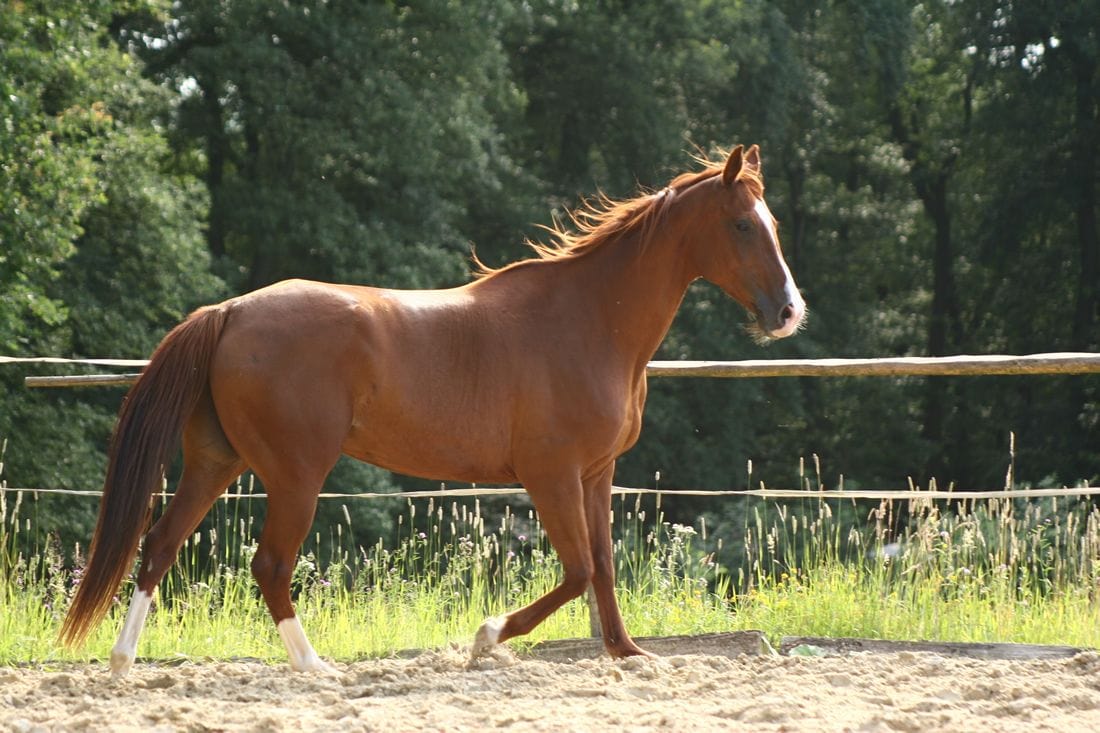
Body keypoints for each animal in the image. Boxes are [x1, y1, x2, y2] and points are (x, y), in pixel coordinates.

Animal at [60, 144, 805, 676]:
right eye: (742, 225)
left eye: (774, 223)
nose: (788, 312)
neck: (586, 320)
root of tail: (230, 310)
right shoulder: (551, 474)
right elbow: (578, 571)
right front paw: (485, 637)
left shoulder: (595, 474)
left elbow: (603, 567)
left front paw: (627, 653)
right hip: (296, 474)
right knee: (268, 564)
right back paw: (315, 666)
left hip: (217, 461)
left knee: (159, 545)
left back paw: (122, 663)